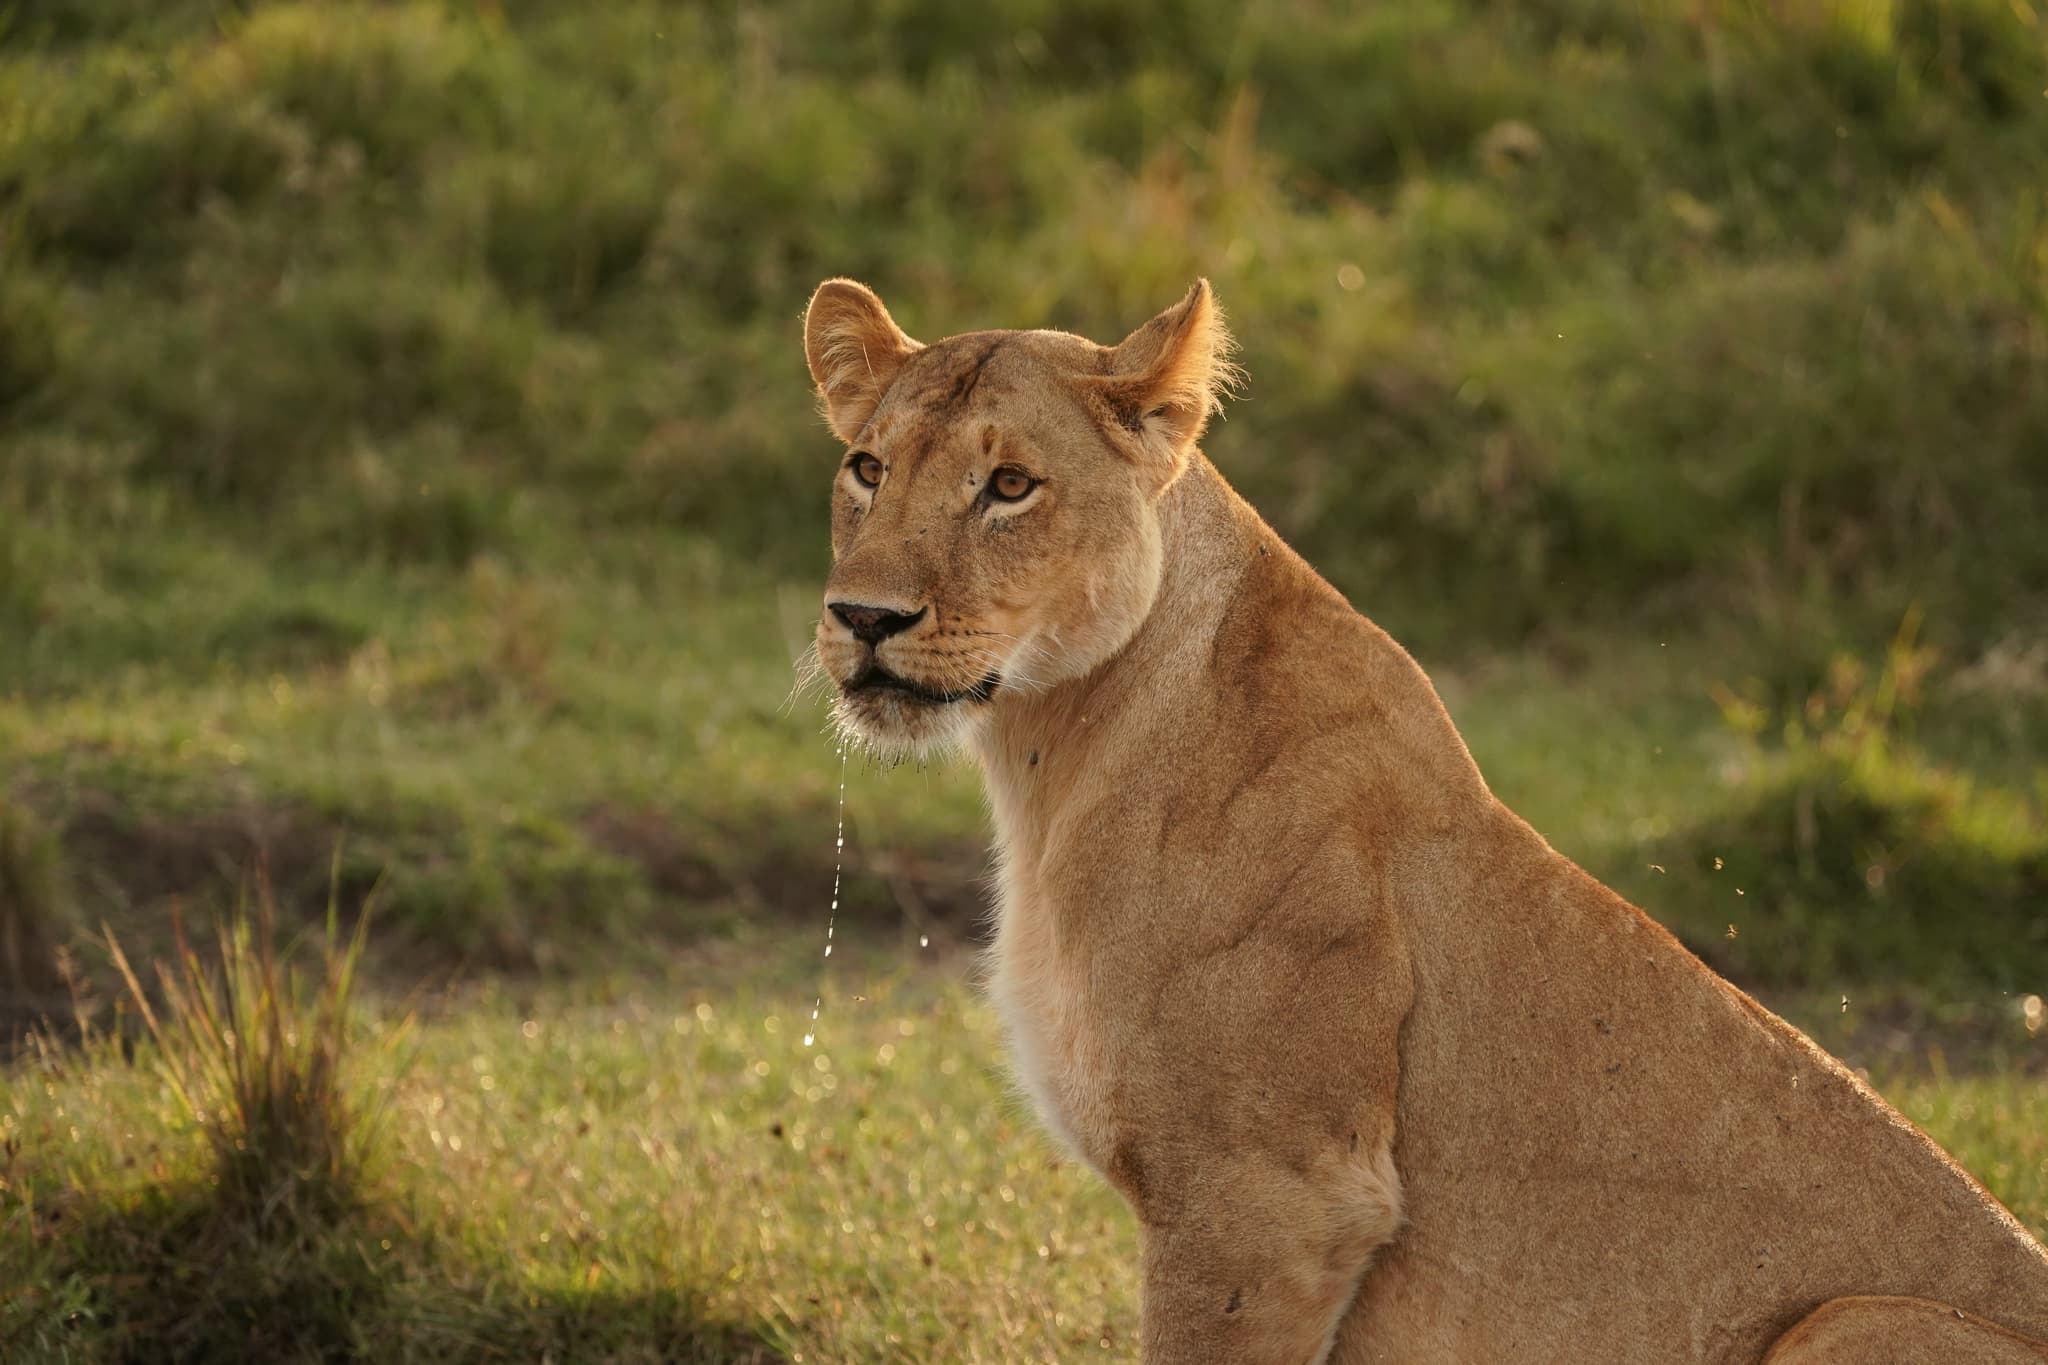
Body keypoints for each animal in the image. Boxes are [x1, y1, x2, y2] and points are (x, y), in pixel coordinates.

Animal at [801, 276, 2048, 1363]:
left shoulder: (1269, 1194)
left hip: (1841, 1319)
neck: (1050, 751)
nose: (862, 617)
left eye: (1009, 486)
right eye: (865, 468)